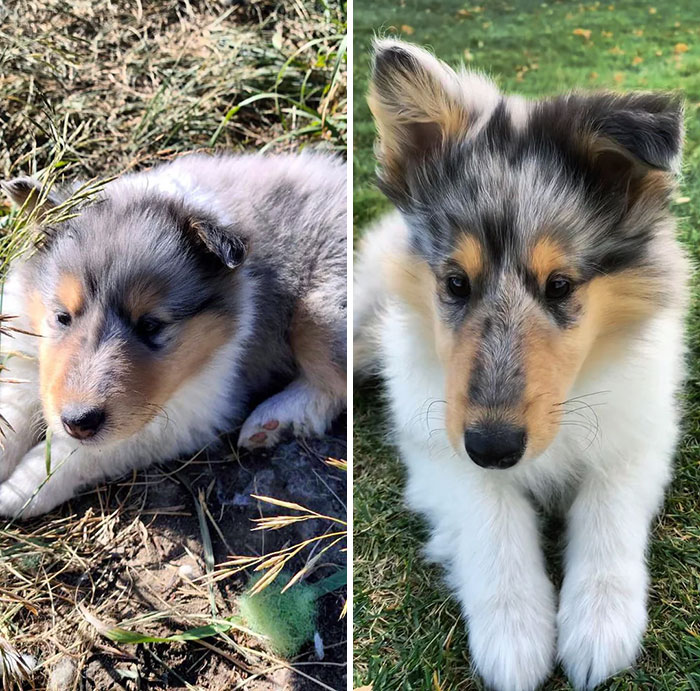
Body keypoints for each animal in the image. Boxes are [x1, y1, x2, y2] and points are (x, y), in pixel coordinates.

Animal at [0, 153, 348, 520]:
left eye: (151, 326)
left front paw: (18, 491)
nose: (79, 421)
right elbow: (12, 412)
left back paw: (274, 420)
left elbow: (78, 453)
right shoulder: (24, 352)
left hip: (320, 311)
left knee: (332, 385)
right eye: (62, 317)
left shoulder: (183, 415)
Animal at [356, 40, 688, 691]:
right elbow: (492, 519)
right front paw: (514, 637)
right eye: (455, 283)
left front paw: (598, 625)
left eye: (560, 285)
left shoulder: (640, 434)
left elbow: (608, 506)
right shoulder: (439, 450)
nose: (494, 446)